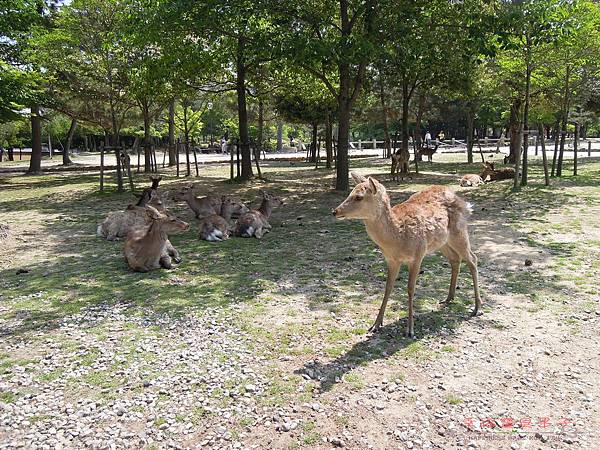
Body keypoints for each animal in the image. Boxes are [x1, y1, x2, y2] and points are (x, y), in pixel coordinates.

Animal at [332, 173, 482, 338]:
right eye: (350, 193)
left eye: (359, 197)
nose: (335, 211)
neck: (397, 238)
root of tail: (465, 204)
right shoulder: (391, 260)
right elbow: (388, 287)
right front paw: (376, 325)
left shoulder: (418, 255)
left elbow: (410, 289)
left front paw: (410, 329)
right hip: (442, 242)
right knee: (455, 260)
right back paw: (448, 298)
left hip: (459, 232)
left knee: (473, 259)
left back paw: (477, 308)